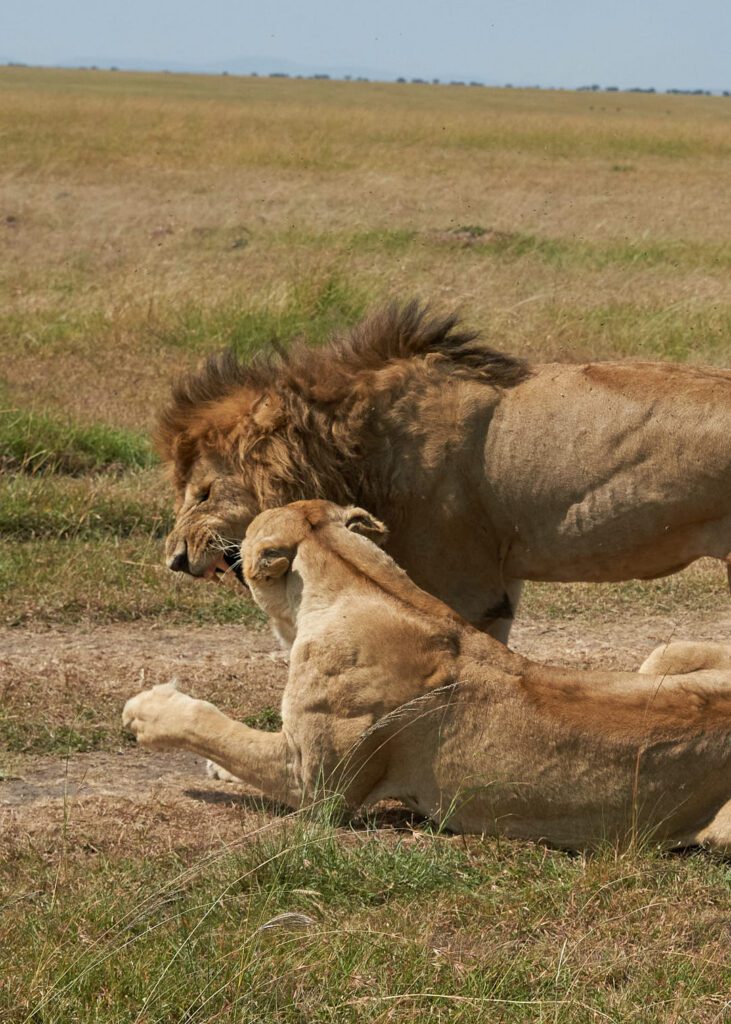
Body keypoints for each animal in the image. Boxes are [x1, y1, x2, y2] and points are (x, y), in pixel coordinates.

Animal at [124, 499, 731, 851]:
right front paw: (216, 768)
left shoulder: (317, 785)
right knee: (666, 650)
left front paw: (149, 712)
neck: (352, 579)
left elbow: (216, 728)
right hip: (664, 662)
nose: (203, 545)